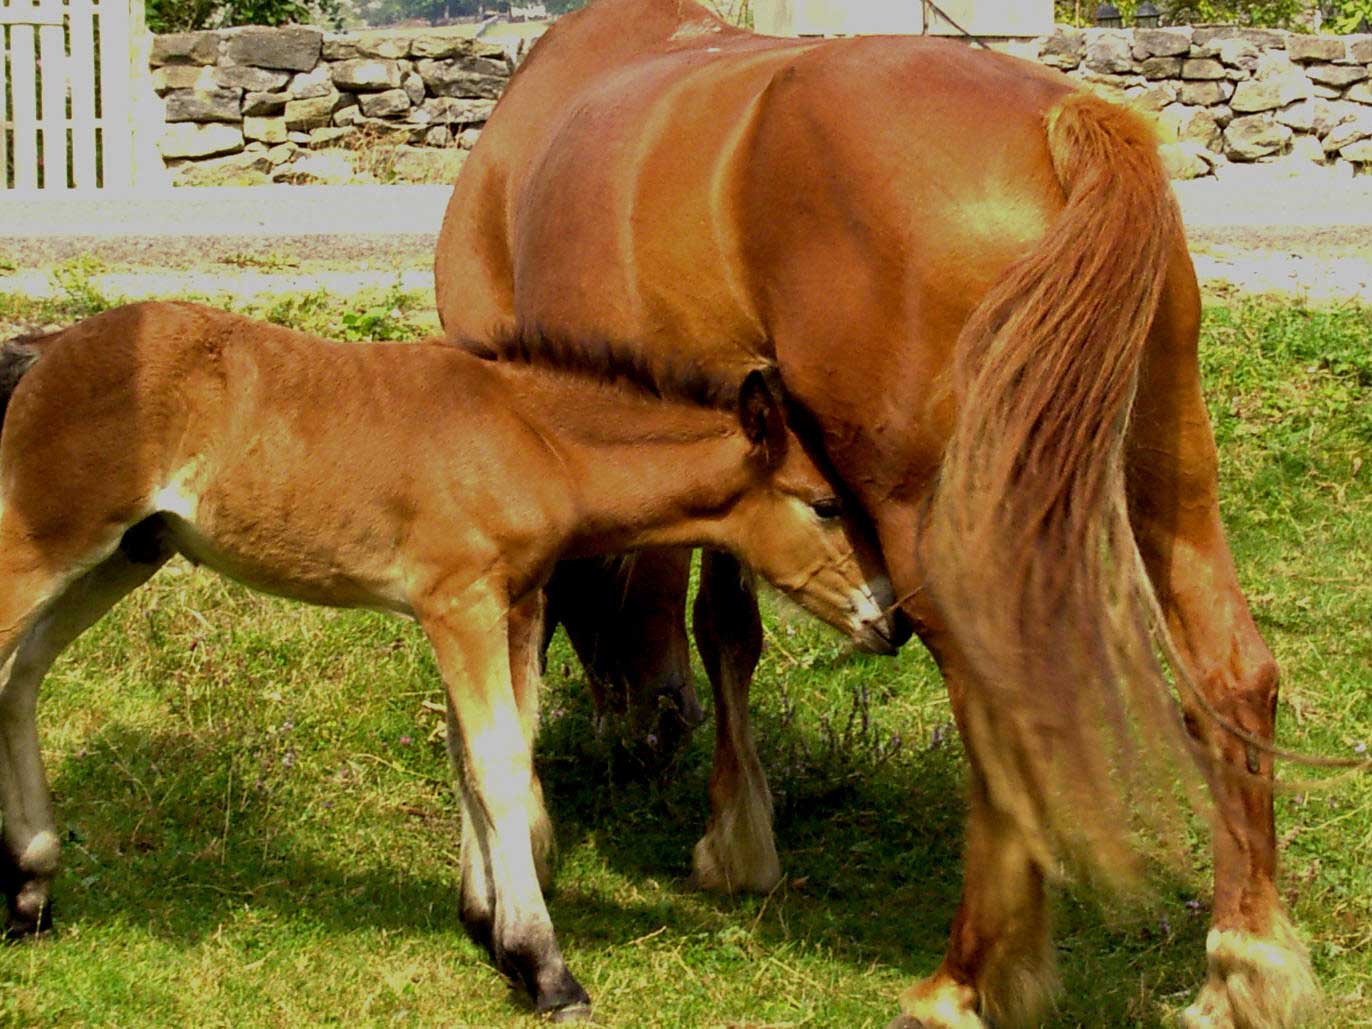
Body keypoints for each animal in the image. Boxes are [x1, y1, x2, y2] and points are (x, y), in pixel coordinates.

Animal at [0, 301, 894, 1020]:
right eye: (825, 504)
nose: (887, 616)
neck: (531, 437)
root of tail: (45, 350)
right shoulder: (457, 603)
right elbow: (497, 759)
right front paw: (547, 970)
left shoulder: (508, 602)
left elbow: (481, 751)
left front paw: (491, 933)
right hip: (48, 543)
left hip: (129, 551)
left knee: (22, 675)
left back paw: (32, 887)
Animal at [433, 4, 1311, 1026]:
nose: (651, 729)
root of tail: (1063, 124)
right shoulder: (756, 452)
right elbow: (728, 625)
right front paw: (738, 834)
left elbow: (515, 666)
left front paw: (518, 867)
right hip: (1168, 477)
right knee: (1233, 674)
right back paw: (1244, 964)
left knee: (1001, 711)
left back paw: (963, 980)